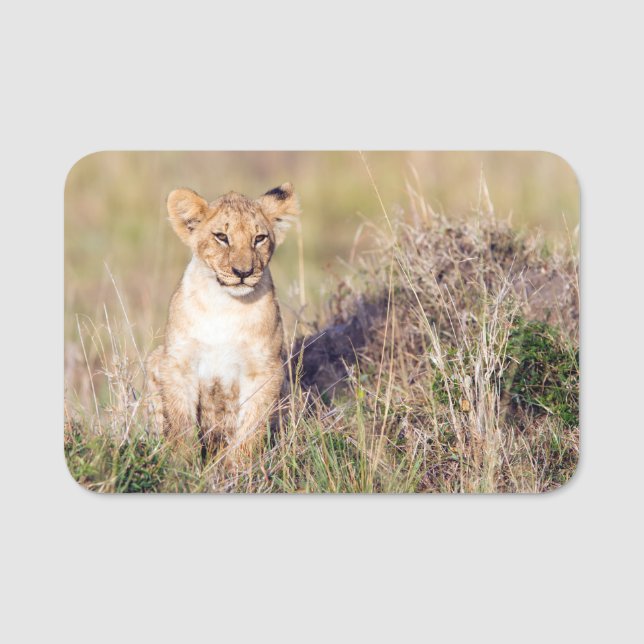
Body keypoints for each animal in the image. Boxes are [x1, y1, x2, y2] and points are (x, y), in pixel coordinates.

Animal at [146, 183, 300, 465]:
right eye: (221, 237)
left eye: (259, 238)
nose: (243, 273)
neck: (225, 305)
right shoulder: (178, 362)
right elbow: (180, 422)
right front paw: (182, 465)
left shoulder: (264, 369)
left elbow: (251, 426)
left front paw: (238, 468)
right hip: (155, 358)